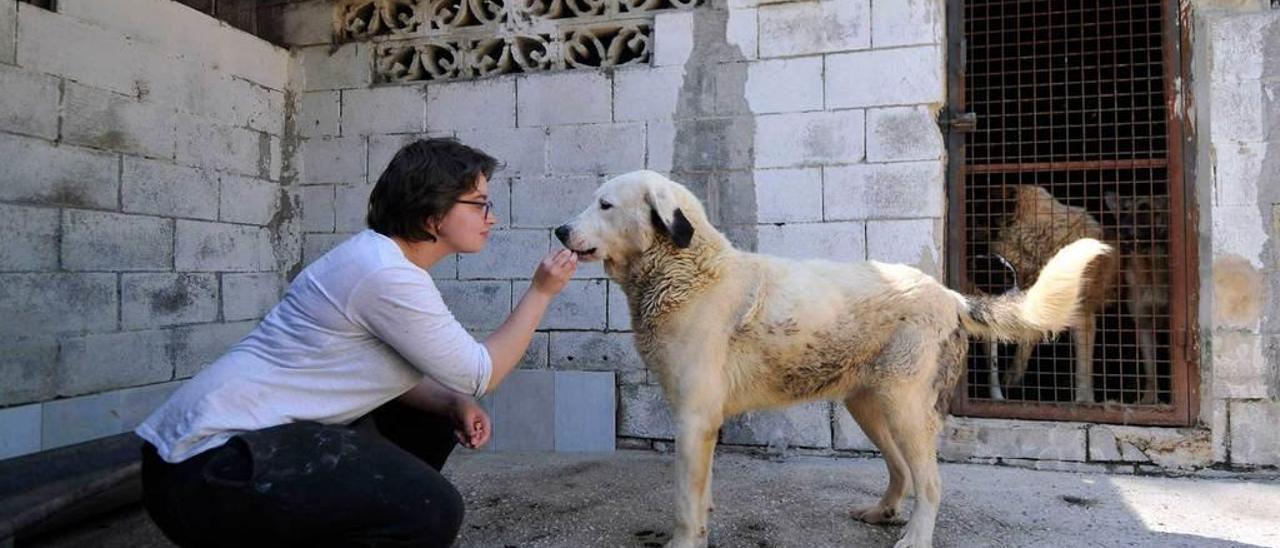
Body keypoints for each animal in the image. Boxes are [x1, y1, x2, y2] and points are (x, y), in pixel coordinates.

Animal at [558, 171, 1111, 548]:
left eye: (604, 204)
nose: (560, 231)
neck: (687, 271)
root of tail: (950, 295)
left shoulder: (693, 418)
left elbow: (681, 502)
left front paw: (684, 540)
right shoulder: (704, 424)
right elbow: (700, 491)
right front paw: (704, 520)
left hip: (906, 409)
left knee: (930, 482)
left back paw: (915, 536)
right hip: (868, 405)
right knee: (902, 472)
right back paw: (882, 513)